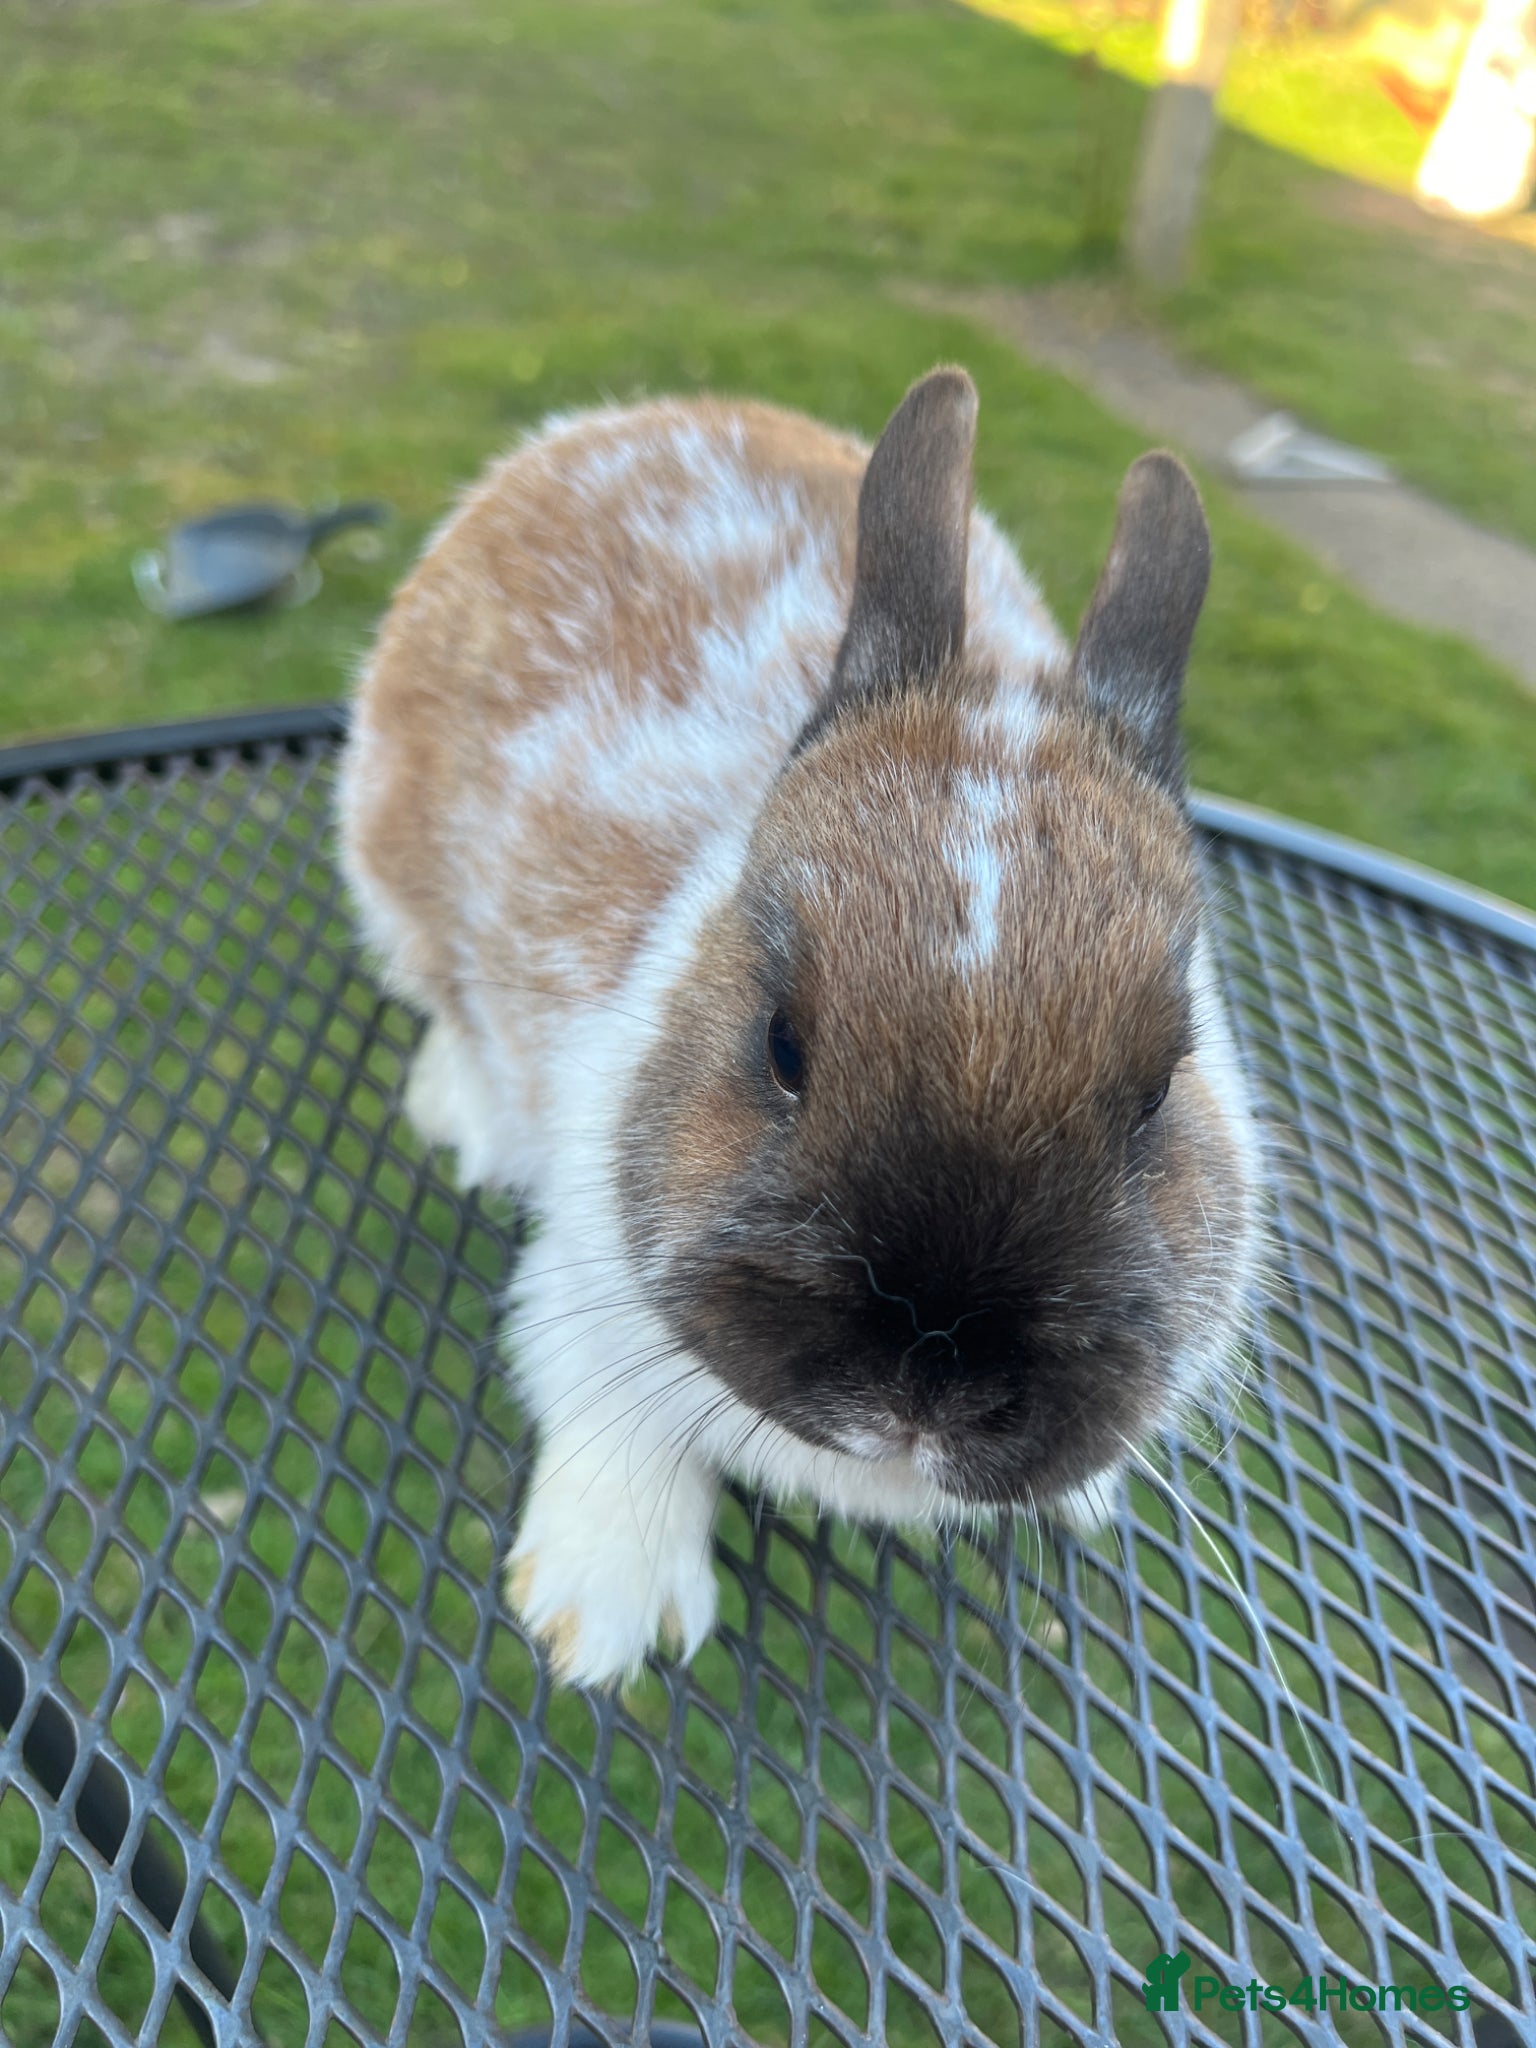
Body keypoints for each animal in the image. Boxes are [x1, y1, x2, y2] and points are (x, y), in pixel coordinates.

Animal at [336, 366, 1263, 1690]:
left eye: (1159, 1090)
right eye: (781, 1042)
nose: (933, 1372)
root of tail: (613, 424)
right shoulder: (583, 1291)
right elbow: (614, 1428)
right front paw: (601, 1619)